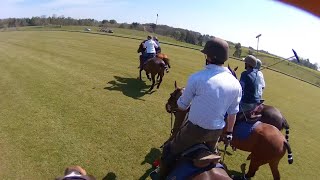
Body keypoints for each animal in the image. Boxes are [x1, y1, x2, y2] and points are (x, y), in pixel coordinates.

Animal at [166, 82, 294, 180]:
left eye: (172, 95)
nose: (167, 106)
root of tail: (283, 141)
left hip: (259, 158)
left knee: (251, 171)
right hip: (272, 161)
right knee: (275, 175)